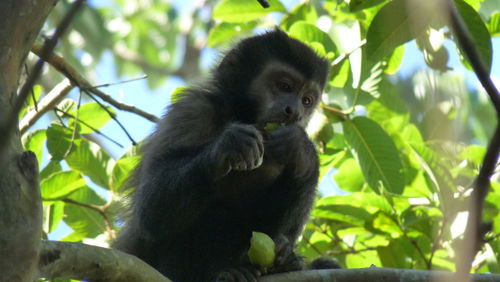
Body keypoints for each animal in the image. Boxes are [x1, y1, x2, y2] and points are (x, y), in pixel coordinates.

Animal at [113, 29, 332, 282]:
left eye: (307, 100)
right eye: (284, 86)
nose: (294, 111)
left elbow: (280, 232)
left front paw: (301, 149)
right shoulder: (193, 111)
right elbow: (151, 213)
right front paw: (229, 146)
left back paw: (288, 264)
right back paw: (228, 272)